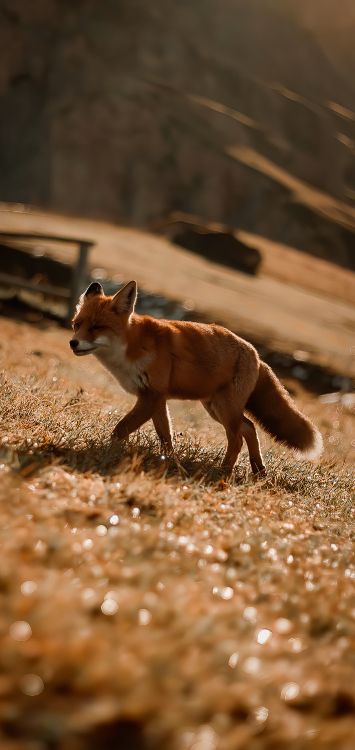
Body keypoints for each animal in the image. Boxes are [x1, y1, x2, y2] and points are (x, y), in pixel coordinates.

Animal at [69, 282, 322, 476]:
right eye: (77, 324)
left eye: (97, 327)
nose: (73, 343)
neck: (130, 347)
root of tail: (257, 356)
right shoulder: (156, 398)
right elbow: (166, 437)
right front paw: (168, 461)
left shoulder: (151, 396)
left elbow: (121, 429)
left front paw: (107, 451)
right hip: (215, 407)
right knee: (249, 428)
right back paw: (258, 470)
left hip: (225, 408)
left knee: (238, 438)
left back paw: (224, 472)